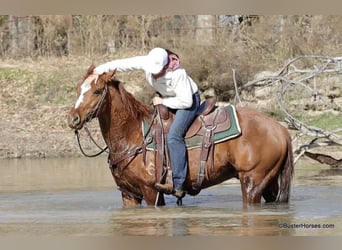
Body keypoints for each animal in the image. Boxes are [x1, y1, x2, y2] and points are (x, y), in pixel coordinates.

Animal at [67, 65, 294, 208]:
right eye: (78, 89)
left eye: (97, 91)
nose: (73, 118)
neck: (133, 134)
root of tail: (281, 129)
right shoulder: (128, 194)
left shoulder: (151, 192)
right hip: (268, 183)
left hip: (252, 181)